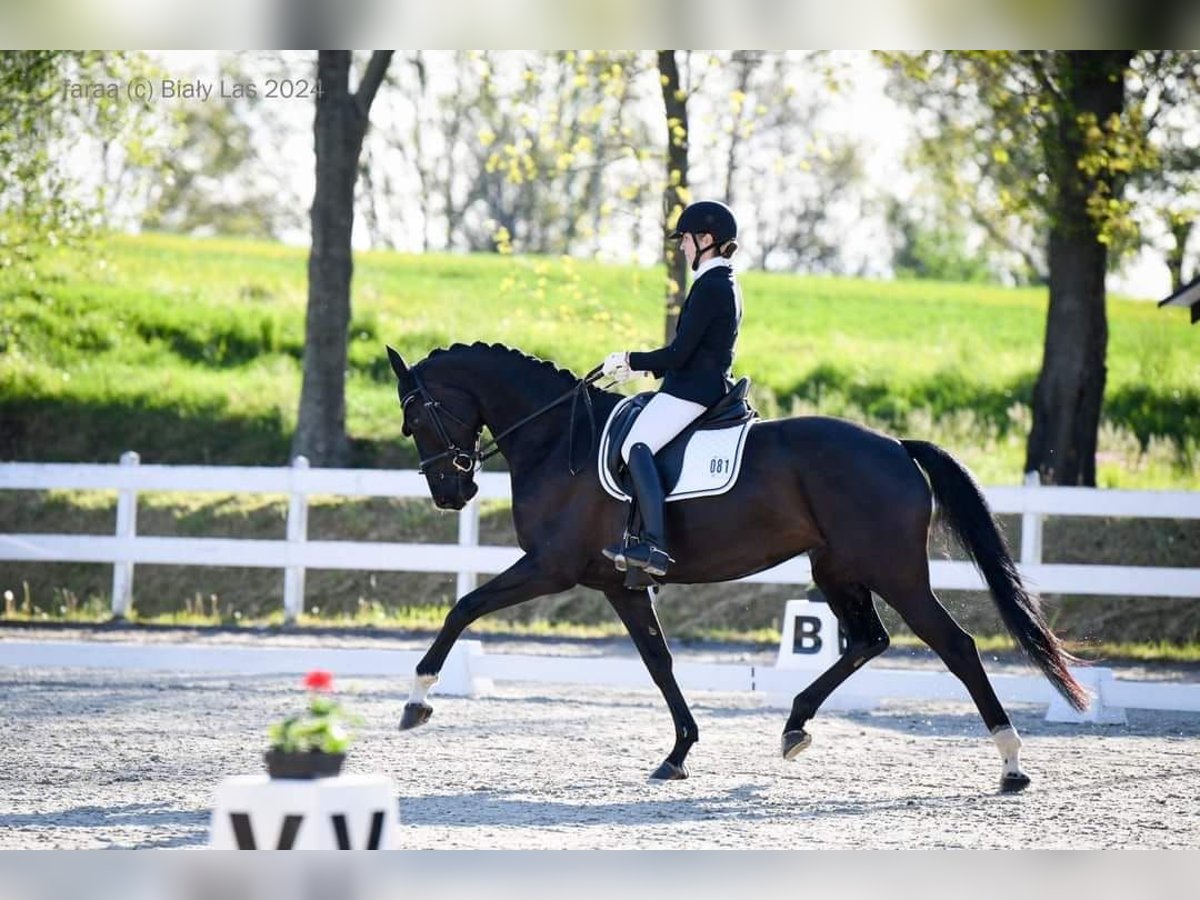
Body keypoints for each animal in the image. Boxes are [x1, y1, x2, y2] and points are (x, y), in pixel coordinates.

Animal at [388, 340, 1094, 792]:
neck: (561, 440)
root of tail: (896, 445)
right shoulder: (618, 583)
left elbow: (464, 607)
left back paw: (1011, 765)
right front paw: (678, 753)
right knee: (869, 640)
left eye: (415, 414)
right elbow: (659, 662)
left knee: (956, 646)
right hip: (837, 569)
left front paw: (416, 702)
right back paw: (794, 726)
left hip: (894, 572)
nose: (451, 493)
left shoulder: (550, 566)